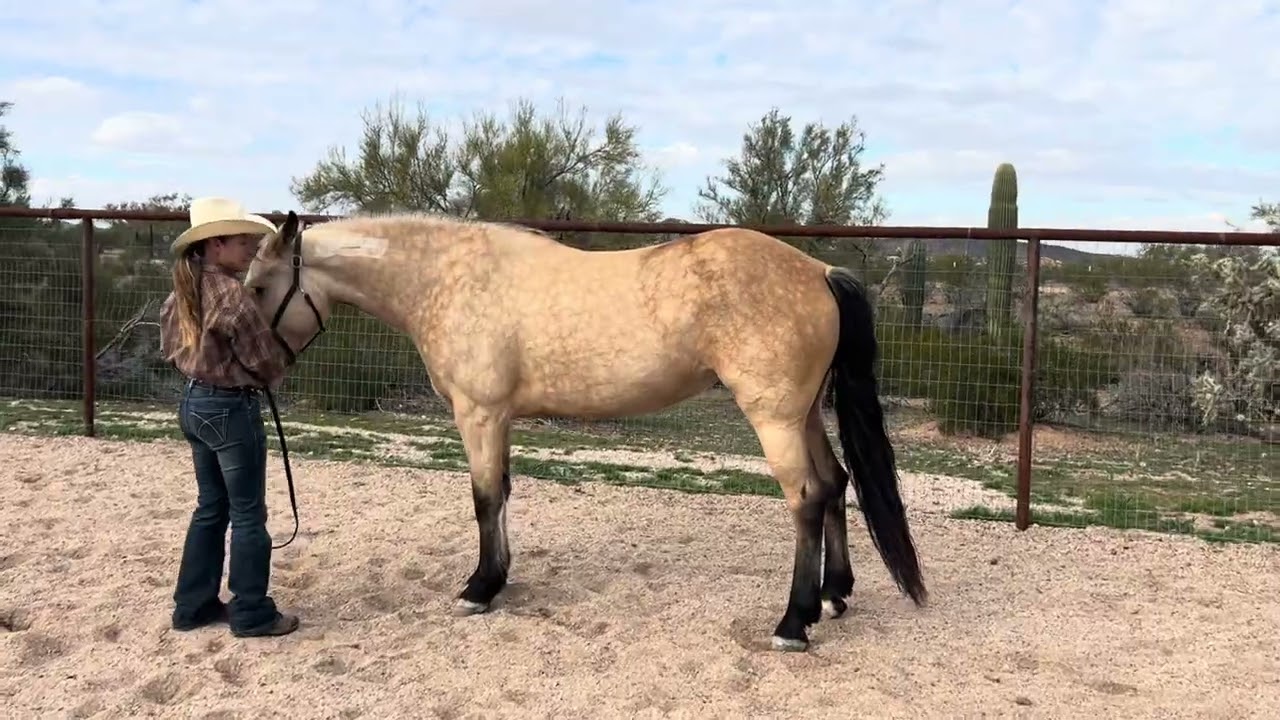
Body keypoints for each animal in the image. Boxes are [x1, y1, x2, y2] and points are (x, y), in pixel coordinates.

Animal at [244, 210, 928, 651]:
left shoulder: (478, 414)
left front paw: (479, 588)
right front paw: (498, 579)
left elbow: (484, 498)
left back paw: (793, 623)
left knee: (806, 499)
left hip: (775, 417)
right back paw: (834, 597)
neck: (448, 277)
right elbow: (503, 495)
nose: (252, 369)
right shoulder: (498, 419)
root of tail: (818, 271)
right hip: (805, 412)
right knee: (835, 483)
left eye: (257, 287)